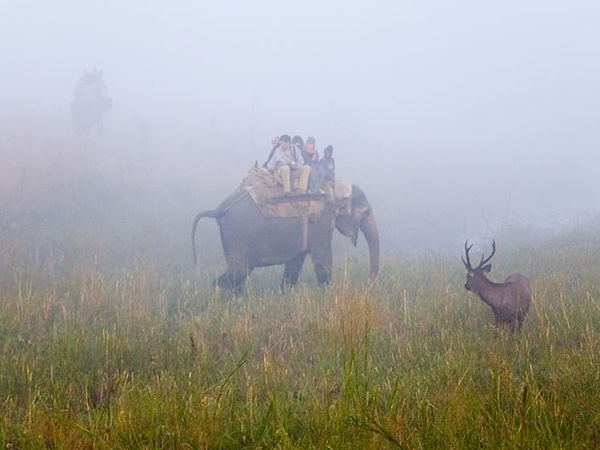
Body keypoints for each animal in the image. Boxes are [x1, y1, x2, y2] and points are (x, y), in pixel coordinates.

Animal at [191, 183, 380, 292]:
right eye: (366, 212)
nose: (368, 282)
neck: (334, 190)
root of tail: (219, 209)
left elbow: (294, 264)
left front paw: (286, 293)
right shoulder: (320, 224)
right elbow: (322, 262)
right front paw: (328, 294)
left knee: (240, 274)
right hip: (237, 236)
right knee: (238, 271)